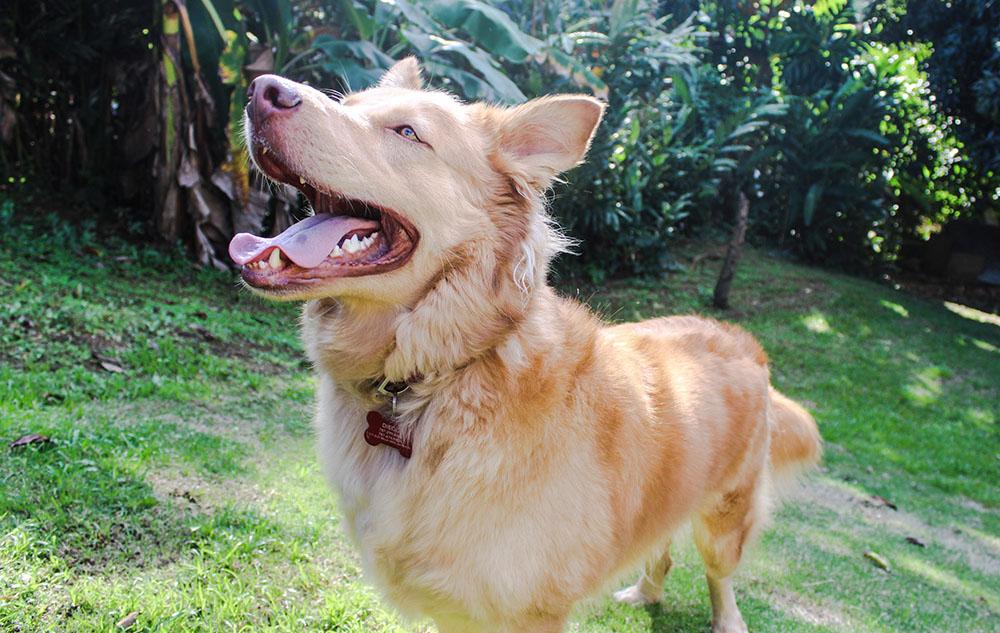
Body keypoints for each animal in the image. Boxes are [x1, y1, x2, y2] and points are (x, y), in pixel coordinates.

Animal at [230, 56, 824, 628]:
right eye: (348, 104)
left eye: (407, 132)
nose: (261, 90)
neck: (445, 372)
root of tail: (744, 342)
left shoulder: (529, 609)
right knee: (663, 547)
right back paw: (647, 591)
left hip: (725, 519)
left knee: (720, 577)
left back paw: (726, 620)